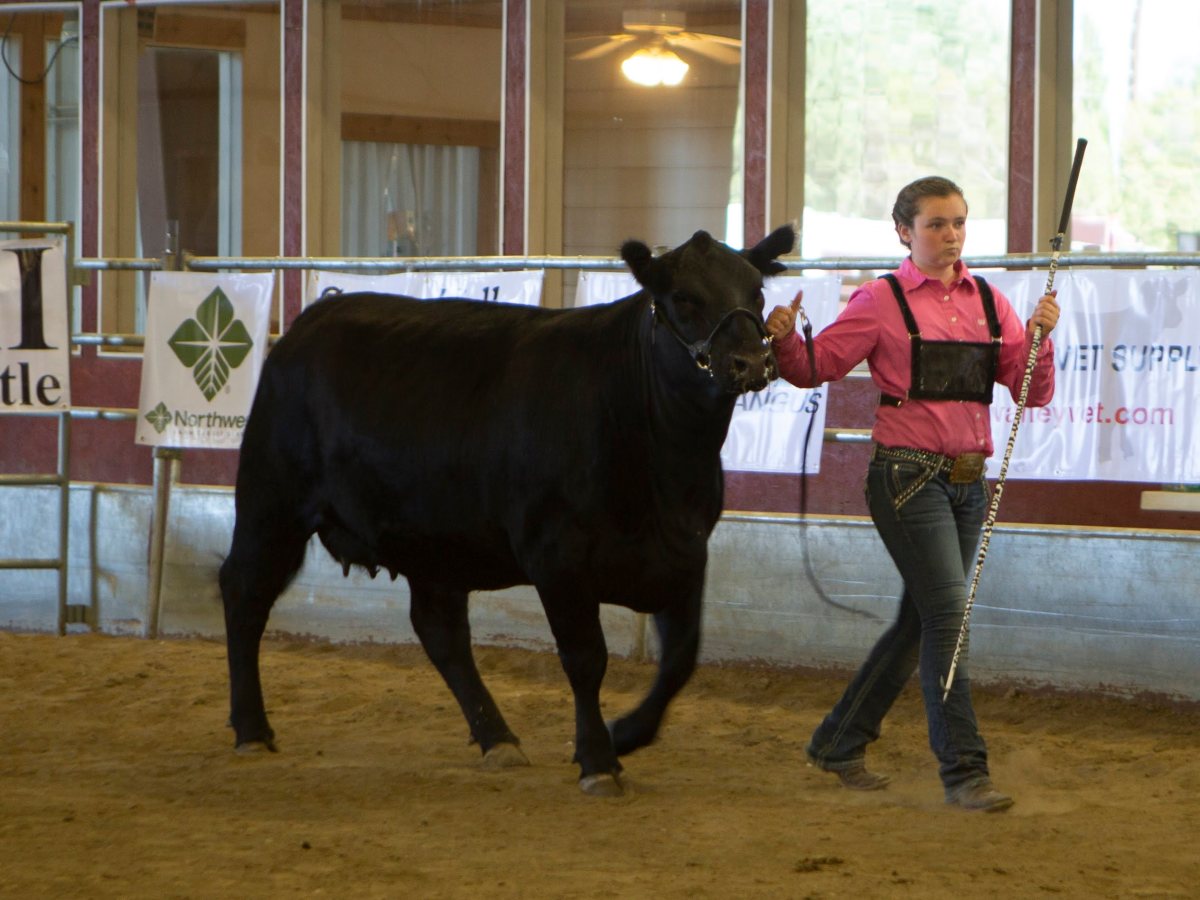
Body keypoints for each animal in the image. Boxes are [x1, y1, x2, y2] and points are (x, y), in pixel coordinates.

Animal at [219, 225, 795, 795]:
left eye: (757, 294)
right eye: (684, 298)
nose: (752, 362)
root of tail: (312, 321)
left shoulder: (686, 552)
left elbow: (680, 659)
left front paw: (626, 733)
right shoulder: (557, 557)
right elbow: (586, 659)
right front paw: (597, 758)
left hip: (434, 542)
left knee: (441, 632)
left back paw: (497, 737)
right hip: (272, 502)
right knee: (244, 592)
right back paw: (251, 729)